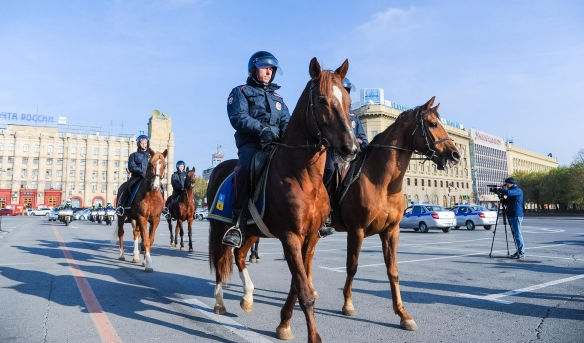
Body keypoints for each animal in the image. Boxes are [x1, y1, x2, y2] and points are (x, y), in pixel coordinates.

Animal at [208, 57, 358, 342]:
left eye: (347, 100)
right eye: (322, 100)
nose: (351, 148)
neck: (303, 177)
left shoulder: (310, 238)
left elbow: (299, 283)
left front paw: (284, 324)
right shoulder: (290, 236)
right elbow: (304, 290)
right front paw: (313, 337)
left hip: (251, 231)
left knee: (239, 256)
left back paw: (247, 297)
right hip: (220, 227)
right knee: (221, 261)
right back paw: (220, 303)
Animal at [328, 97, 460, 330]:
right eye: (433, 124)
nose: (455, 154)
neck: (382, 182)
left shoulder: (391, 231)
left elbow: (393, 271)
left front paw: (403, 314)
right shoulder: (356, 231)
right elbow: (352, 267)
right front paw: (348, 304)